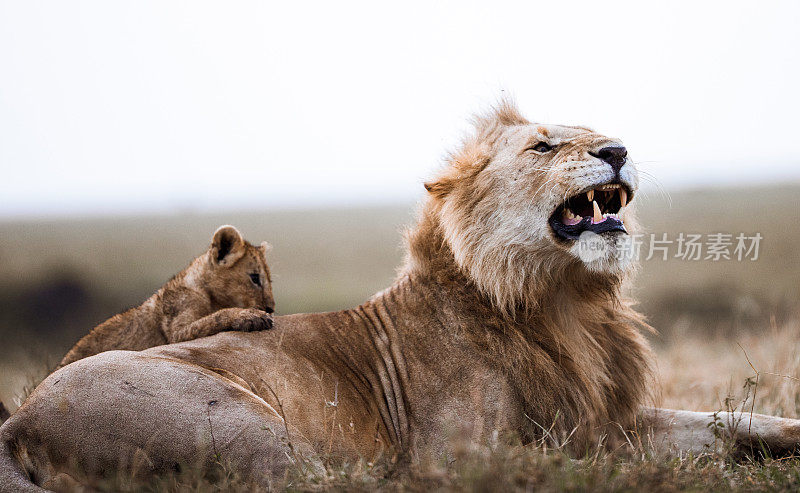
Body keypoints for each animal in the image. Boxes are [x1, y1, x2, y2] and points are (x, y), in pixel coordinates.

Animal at [56, 225, 276, 368]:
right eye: (255, 278)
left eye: (269, 280)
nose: (271, 308)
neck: (209, 294)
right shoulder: (176, 332)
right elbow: (217, 316)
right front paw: (251, 317)